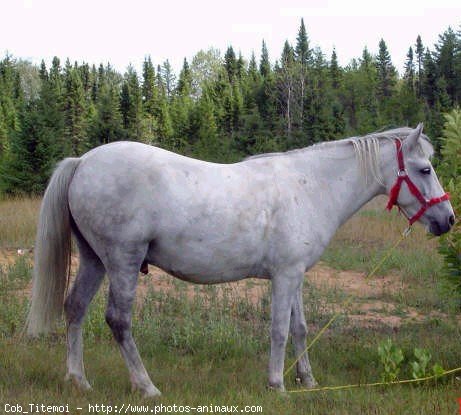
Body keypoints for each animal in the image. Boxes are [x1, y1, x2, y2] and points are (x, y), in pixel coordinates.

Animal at [26, 123, 452, 396]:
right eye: (425, 168)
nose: (447, 219)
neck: (311, 186)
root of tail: (83, 162)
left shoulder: (296, 275)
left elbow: (300, 329)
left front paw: (308, 381)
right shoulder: (284, 276)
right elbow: (279, 330)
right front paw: (277, 385)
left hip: (94, 260)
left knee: (75, 308)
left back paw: (79, 380)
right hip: (122, 261)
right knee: (118, 320)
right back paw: (147, 387)